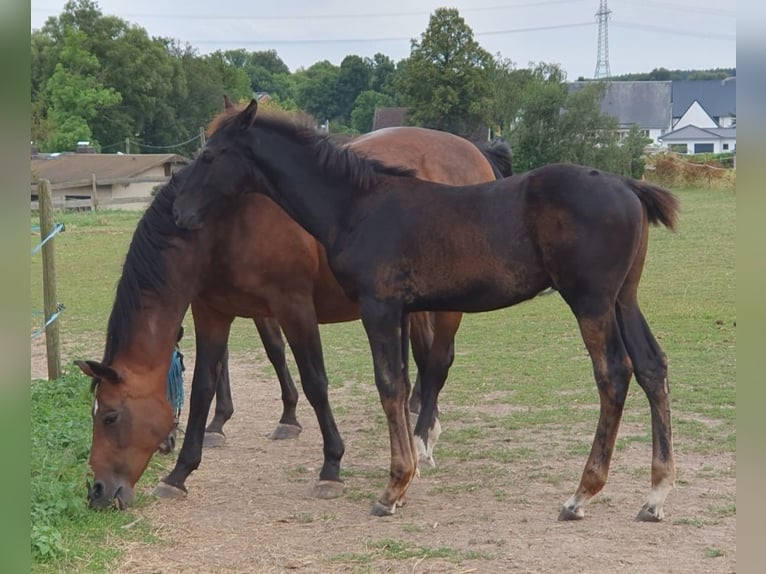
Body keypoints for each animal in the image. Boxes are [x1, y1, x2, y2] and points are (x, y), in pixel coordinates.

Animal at [77, 118, 510, 509]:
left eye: (110, 417)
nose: (97, 492)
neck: (224, 221)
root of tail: (475, 151)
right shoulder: (212, 312)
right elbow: (203, 388)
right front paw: (179, 473)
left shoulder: (293, 307)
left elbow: (315, 382)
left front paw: (331, 467)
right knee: (420, 364)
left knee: (438, 362)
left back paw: (420, 444)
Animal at [172, 99, 679, 522]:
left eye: (210, 156)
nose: (181, 213)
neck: (356, 205)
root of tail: (626, 184)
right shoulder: (399, 310)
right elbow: (403, 382)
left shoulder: (379, 306)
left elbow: (389, 385)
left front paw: (393, 488)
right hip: (623, 299)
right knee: (651, 366)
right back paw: (654, 495)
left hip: (590, 301)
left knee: (613, 374)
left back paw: (581, 494)